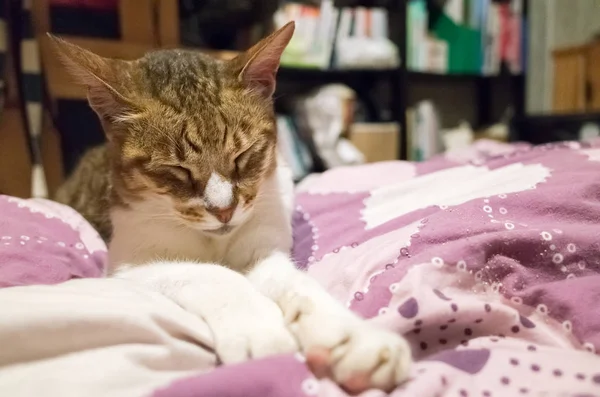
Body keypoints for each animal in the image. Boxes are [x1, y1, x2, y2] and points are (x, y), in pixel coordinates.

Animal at [51, 22, 412, 392]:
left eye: (244, 156)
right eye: (176, 170)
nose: (223, 210)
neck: (214, 239)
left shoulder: (263, 244)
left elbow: (296, 284)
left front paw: (352, 337)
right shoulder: (132, 263)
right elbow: (212, 274)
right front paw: (260, 328)